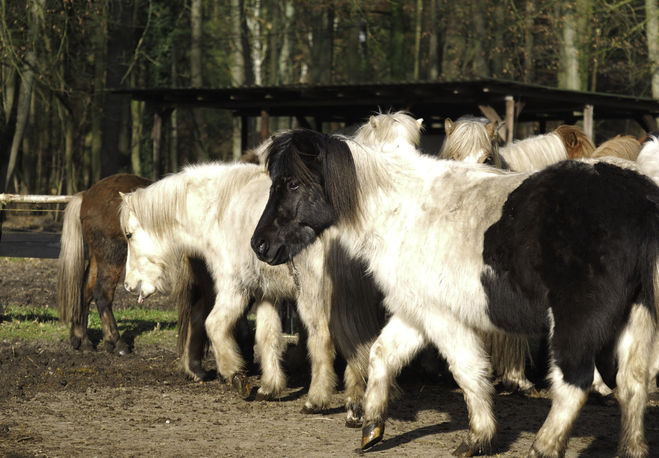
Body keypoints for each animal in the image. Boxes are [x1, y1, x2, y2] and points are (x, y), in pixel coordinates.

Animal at [56, 174, 231, 382]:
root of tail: (87, 195)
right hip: (112, 256)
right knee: (102, 294)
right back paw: (116, 343)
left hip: (97, 258)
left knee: (85, 292)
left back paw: (82, 340)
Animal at [121, 161, 384, 426]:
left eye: (129, 235)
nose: (129, 285)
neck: (218, 209)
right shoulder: (267, 294)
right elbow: (267, 337)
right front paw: (270, 387)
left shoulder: (234, 287)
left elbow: (214, 325)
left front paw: (235, 375)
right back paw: (354, 408)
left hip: (313, 297)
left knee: (323, 339)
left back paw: (316, 400)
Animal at [251, 128, 659, 458]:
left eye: (292, 184)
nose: (259, 245)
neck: (402, 211)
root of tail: (642, 201)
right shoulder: (415, 313)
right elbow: (382, 355)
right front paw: (371, 427)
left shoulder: (443, 319)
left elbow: (468, 372)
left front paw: (477, 439)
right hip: (637, 318)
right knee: (633, 384)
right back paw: (632, 448)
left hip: (576, 324)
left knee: (575, 383)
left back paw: (543, 447)